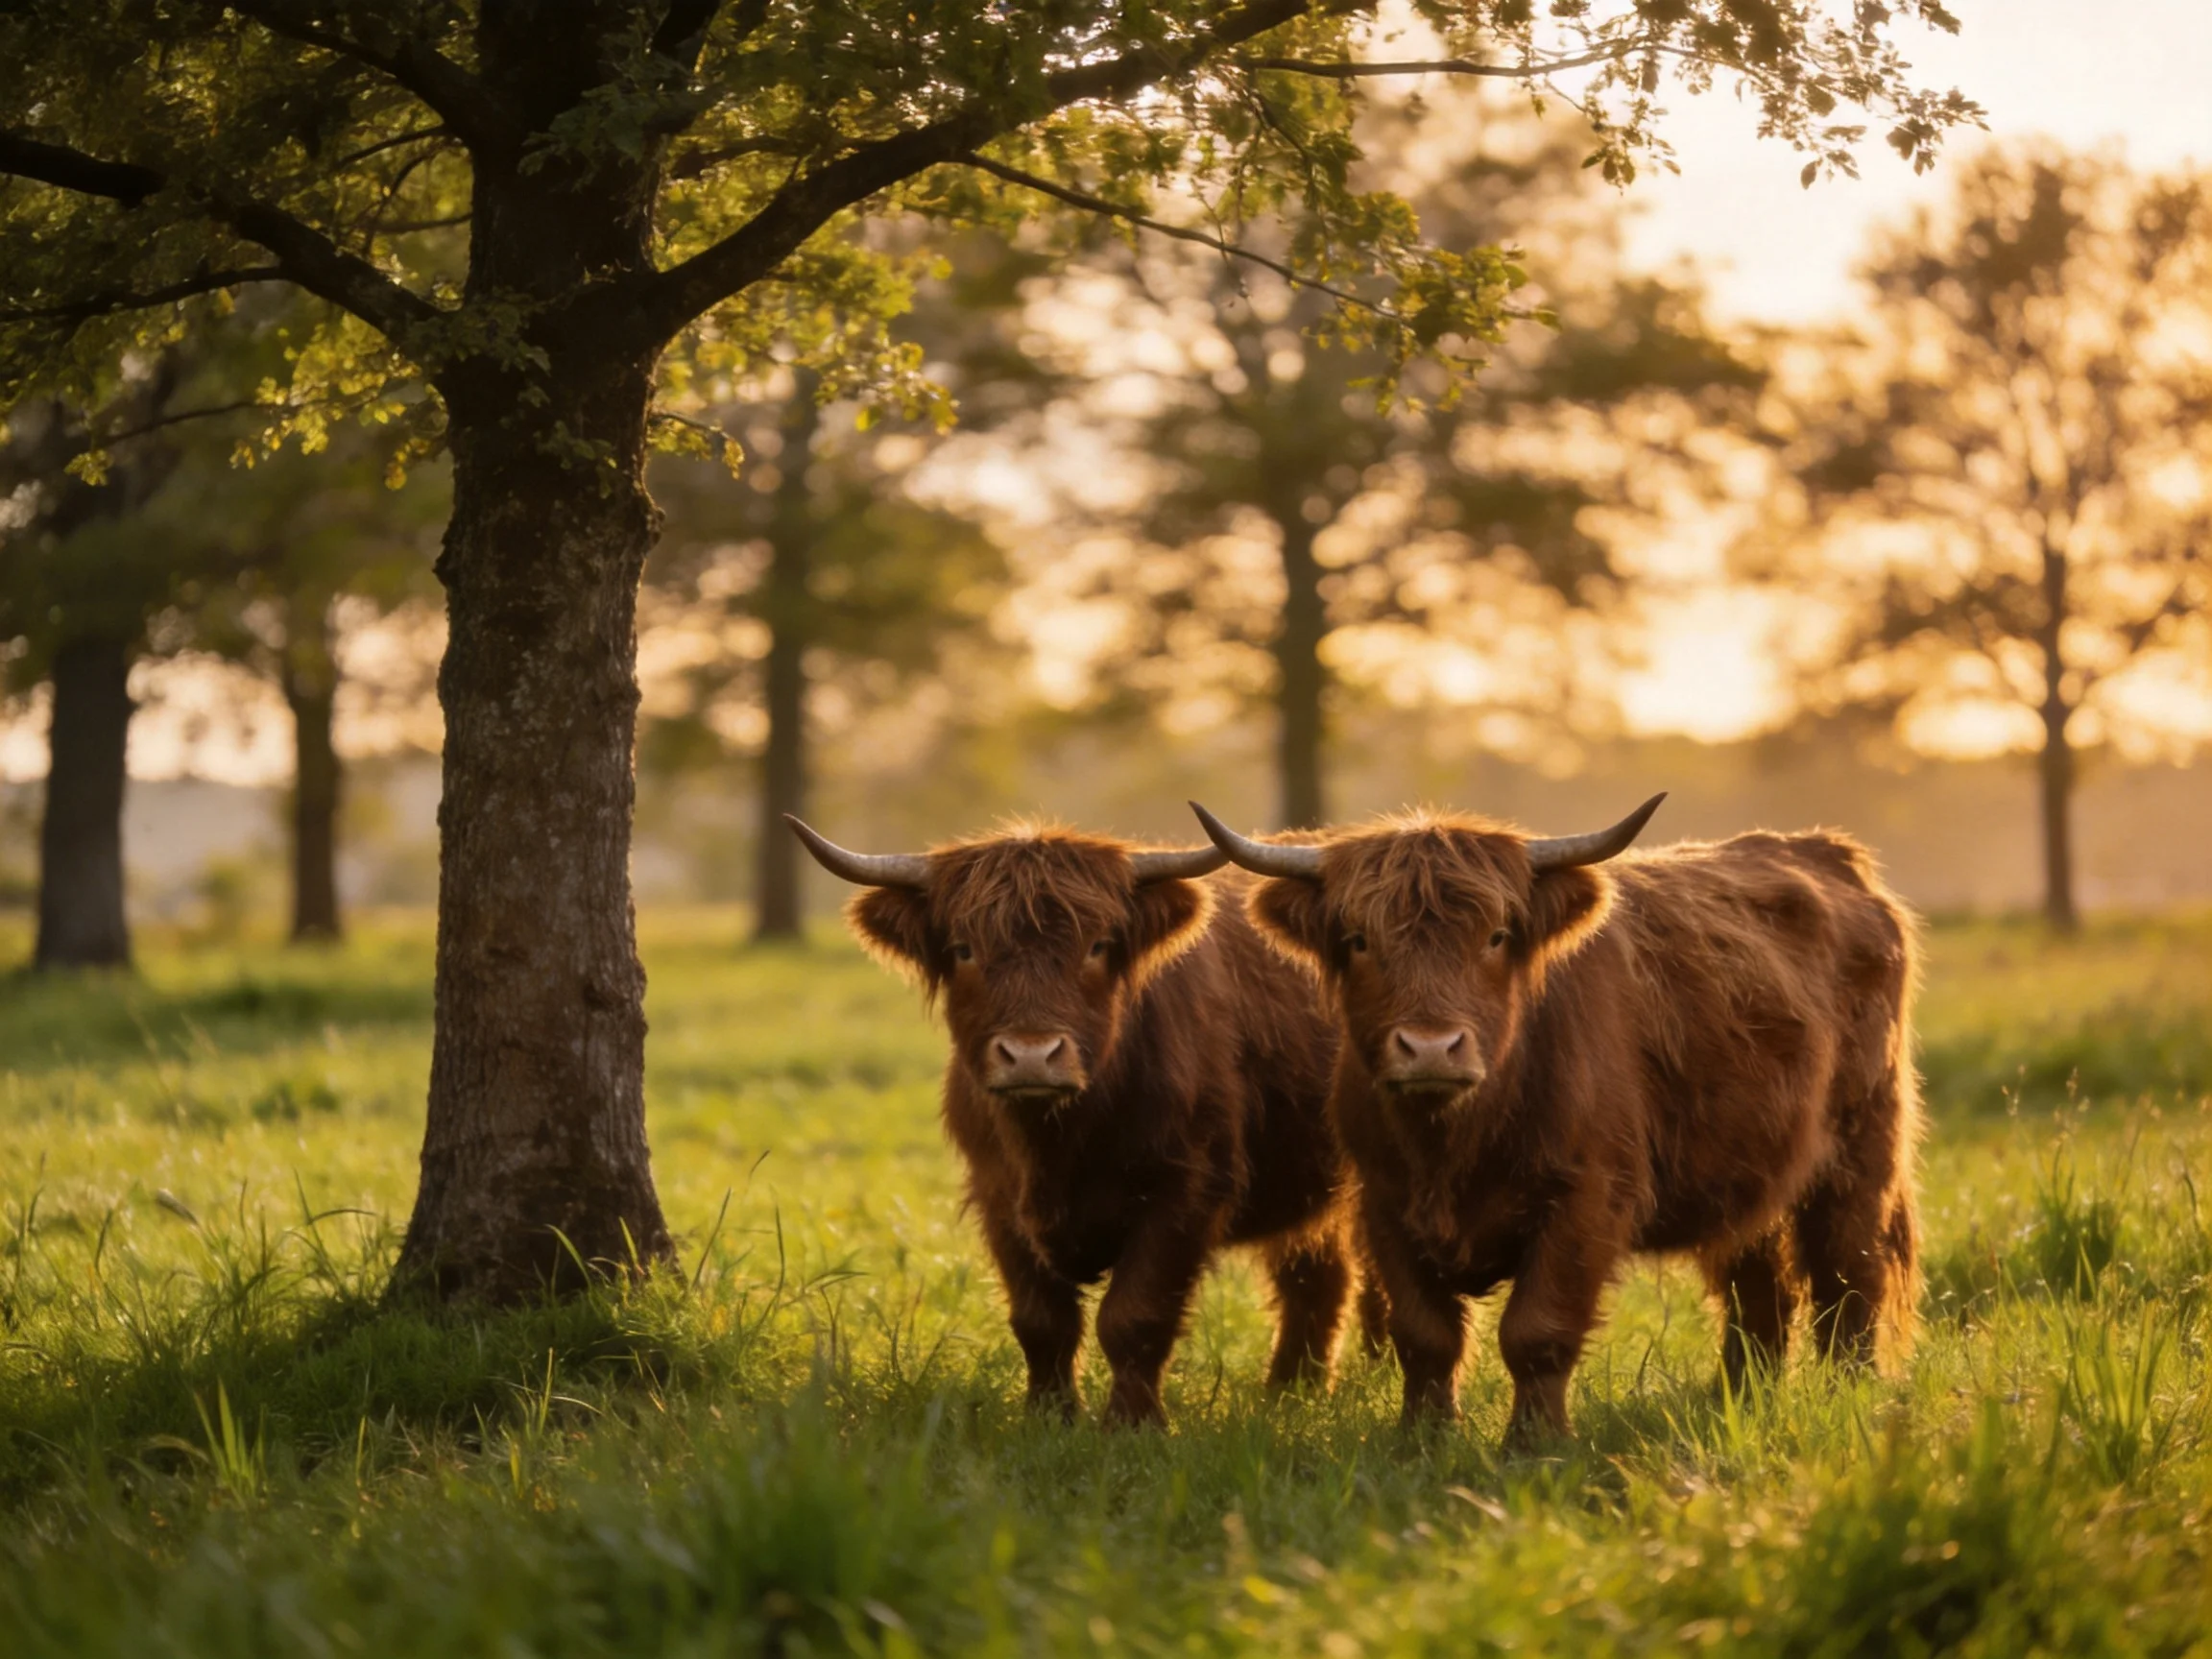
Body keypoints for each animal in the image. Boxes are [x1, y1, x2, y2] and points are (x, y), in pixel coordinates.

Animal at [787, 815, 1362, 1427]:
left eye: (1097, 946)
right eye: (964, 950)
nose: (1031, 1054)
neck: (1057, 1144)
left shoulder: (1187, 1191)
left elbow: (1135, 1315)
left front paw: (1132, 1424)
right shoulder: (998, 1197)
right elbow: (1042, 1321)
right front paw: (1049, 1415)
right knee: (1315, 1276)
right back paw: (1291, 1393)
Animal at [1191, 796, 1922, 1444]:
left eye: (1495, 936)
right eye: (1359, 940)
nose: (1430, 1047)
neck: (1454, 1143)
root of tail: (1821, 850)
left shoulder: (1586, 1199)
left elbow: (1536, 1331)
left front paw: (1533, 1444)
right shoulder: (1385, 1204)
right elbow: (1426, 1336)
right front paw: (1422, 1440)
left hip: (1861, 1148)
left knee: (1849, 1273)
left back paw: (1850, 1390)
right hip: (1749, 1169)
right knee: (1759, 1289)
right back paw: (1739, 1398)